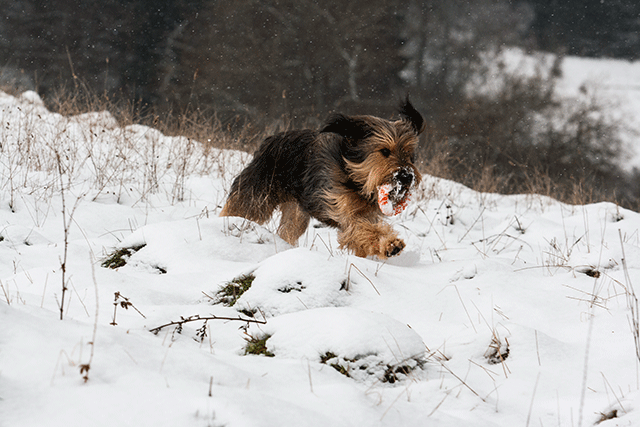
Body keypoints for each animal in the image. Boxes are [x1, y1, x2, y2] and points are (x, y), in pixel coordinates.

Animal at [220, 98, 425, 259]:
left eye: (408, 154)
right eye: (385, 151)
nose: (406, 176)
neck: (354, 178)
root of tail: (269, 140)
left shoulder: (368, 213)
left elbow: (366, 231)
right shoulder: (342, 208)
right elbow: (360, 228)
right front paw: (390, 244)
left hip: (296, 211)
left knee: (288, 230)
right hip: (257, 194)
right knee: (239, 208)